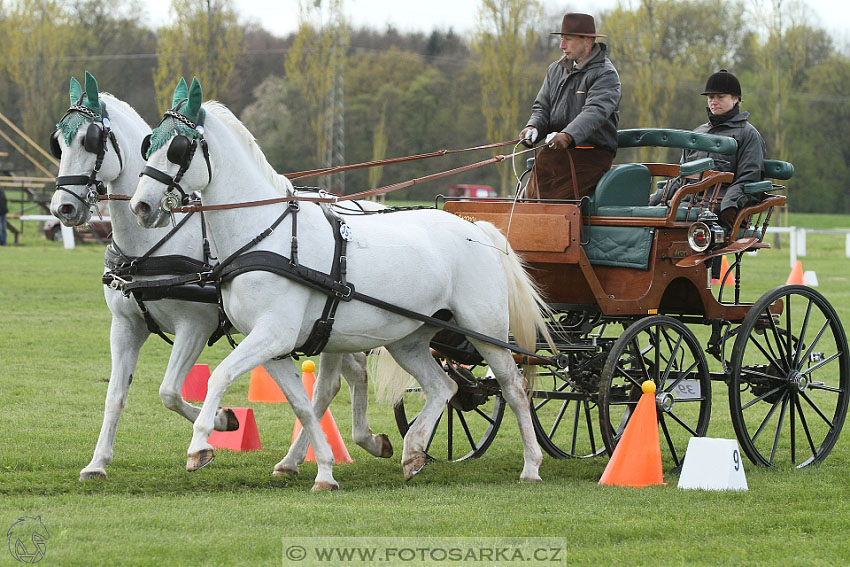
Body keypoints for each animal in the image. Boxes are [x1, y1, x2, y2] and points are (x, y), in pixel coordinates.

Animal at [48, 73, 388, 482]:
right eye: (58, 141)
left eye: (91, 139)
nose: (64, 208)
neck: (151, 246)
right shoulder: (126, 325)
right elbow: (115, 395)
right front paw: (97, 463)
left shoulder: (194, 325)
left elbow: (169, 391)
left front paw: (223, 423)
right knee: (351, 375)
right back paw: (360, 442)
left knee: (329, 385)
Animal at [126, 77, 548, 490]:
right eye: (149, 143)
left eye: (178, 148)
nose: (140, 207)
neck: (266, 235)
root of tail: (477, 228)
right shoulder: (274, 346)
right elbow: (302, 404)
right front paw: (324, 469)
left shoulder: (272, 335)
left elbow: (221, 376)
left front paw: (200, 445)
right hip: (409, 339)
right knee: (444, 387)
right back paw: (413, 454)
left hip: (485, 329)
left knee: (513, 387)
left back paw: (531, 465)